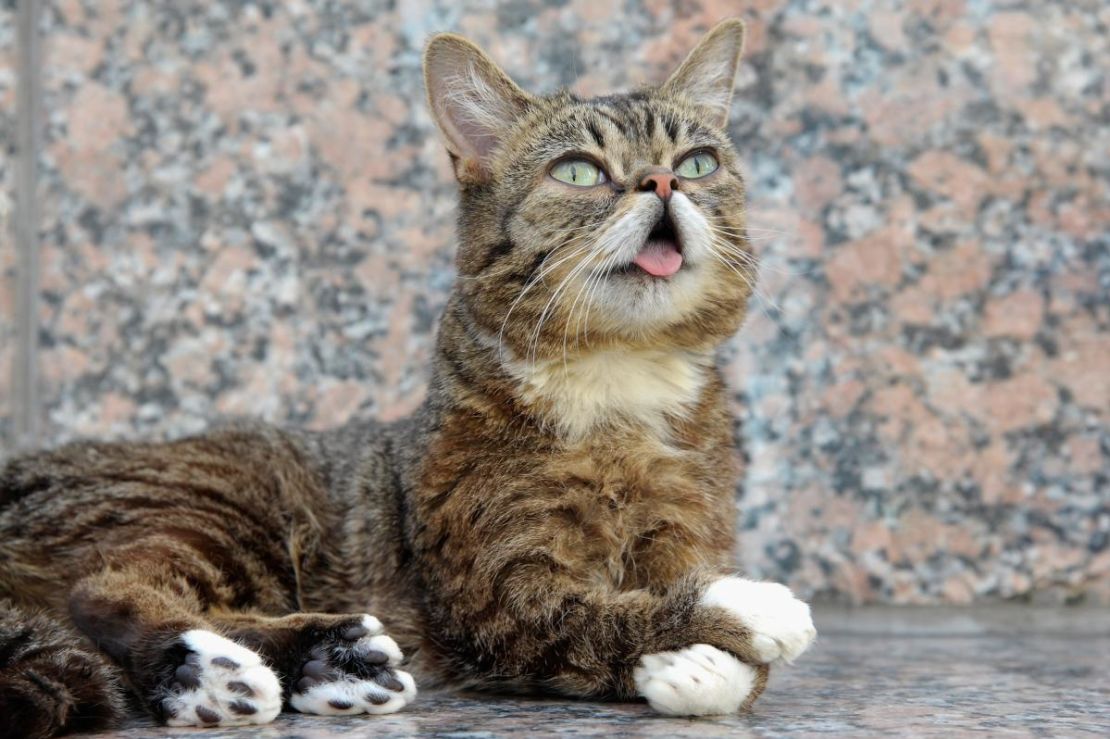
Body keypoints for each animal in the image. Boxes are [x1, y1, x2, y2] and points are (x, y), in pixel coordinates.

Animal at [0, 18, 816, 736]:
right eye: (579, 171)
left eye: (700, 162)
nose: (662, 181)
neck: (619, 383)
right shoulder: (497, 600)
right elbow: (601, 615)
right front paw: (743, 611)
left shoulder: (687, 527)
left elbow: (725, 651)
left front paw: (704, 668)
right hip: (219, 503)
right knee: (101, 591)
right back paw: (202, 669)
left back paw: (332, 659)